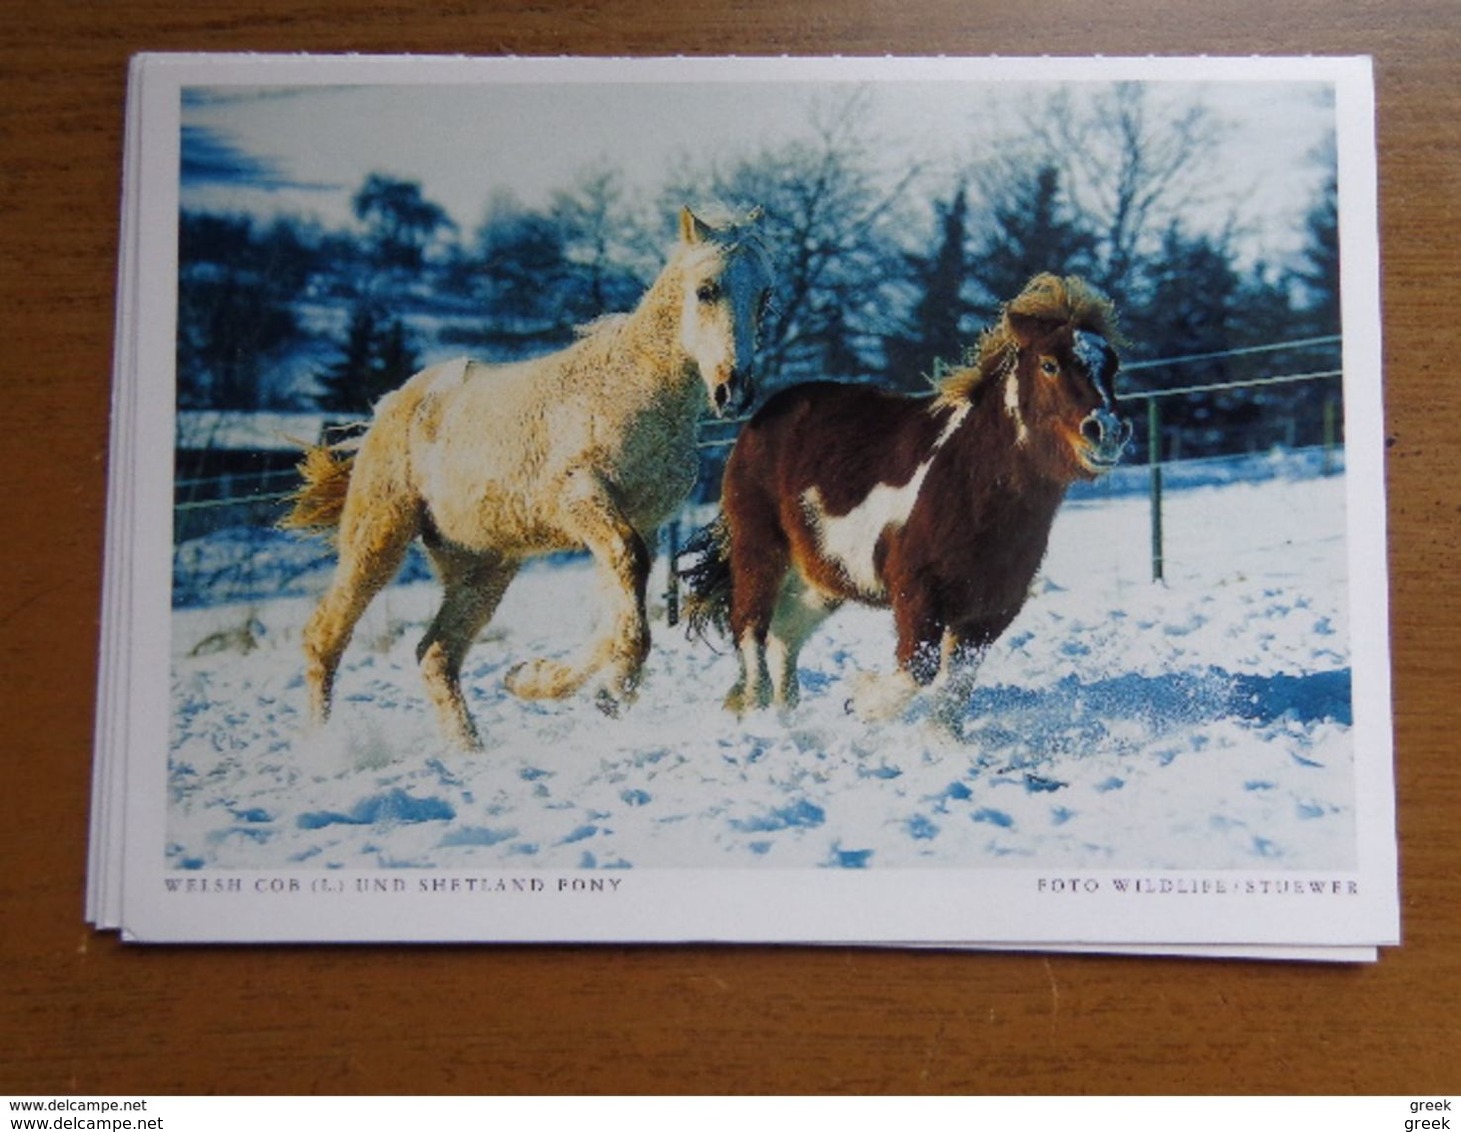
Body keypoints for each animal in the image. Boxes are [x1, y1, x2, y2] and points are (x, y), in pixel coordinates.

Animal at [277, 203, 771, 753]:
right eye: (706, 289)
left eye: (765, 296)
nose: (734, 391)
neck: (631, 390)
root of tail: (390, 405)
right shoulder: (582, 499)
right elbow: (628, 587)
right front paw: (611, 684)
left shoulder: (642, 522)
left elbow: (617, 610)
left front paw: (543, 681)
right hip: (379, 535)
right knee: (325, 638)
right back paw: (322, 749)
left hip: (482, 564)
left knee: (435, 654)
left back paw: (470, 750)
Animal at [683, 274, 1127, 736]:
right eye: (1049, 365)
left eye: (1113, 367)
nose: (1107, 431)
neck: (973, 486)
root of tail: (760, 418)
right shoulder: (917, 592)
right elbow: (919, 668)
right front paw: (861, 703)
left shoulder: (990, 611)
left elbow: (955, 683)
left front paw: (943, 741)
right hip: (759, 549)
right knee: (750, 626)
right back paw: (755, 708)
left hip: (822, 578)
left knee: (785, 635)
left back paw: (785, 713)